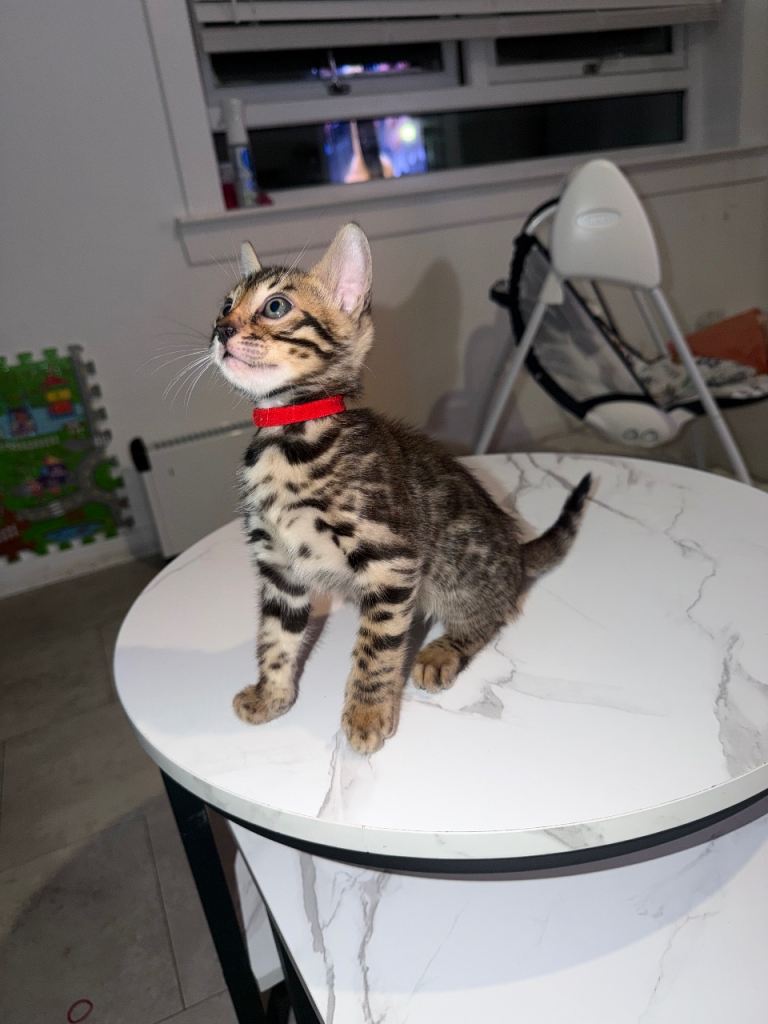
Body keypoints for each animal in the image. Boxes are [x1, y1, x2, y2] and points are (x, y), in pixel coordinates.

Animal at [210, 223, 591, 753]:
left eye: (276, 306)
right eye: (225, 305)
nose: (221, 330)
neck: (290, 436)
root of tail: (516, 555)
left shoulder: (391, 560)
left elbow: (377, 648)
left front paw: (368, 714)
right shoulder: (279, 568)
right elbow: (276, 637)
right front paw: (272, 695)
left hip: (456, 572)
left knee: (493, 615)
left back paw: (441, 650)